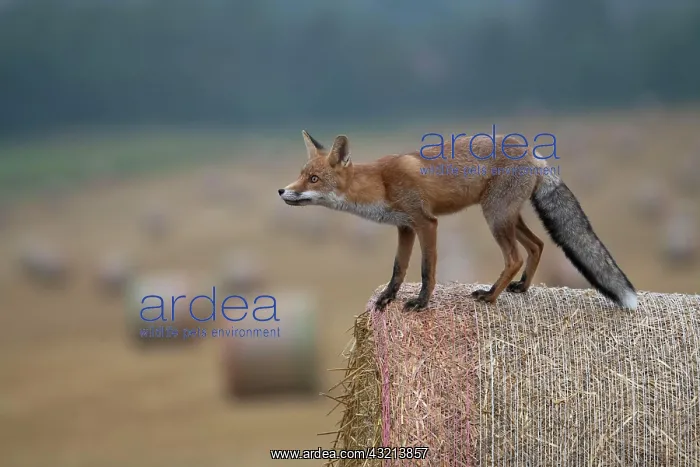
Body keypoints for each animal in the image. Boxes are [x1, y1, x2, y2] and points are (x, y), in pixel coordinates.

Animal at [278, 130, 637, 312]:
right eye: (301, 174)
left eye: (313, 179)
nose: (282, 190)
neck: (380, 182)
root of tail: (534, 153)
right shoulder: (404, 227)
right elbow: (398, 269)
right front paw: (387, 299)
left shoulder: (426, 223)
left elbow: (427, 270)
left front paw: (421, 303)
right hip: (507, 216)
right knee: (536, 245)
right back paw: (521, 288)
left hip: (495, 217)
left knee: (514, 257)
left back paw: (490, 296)